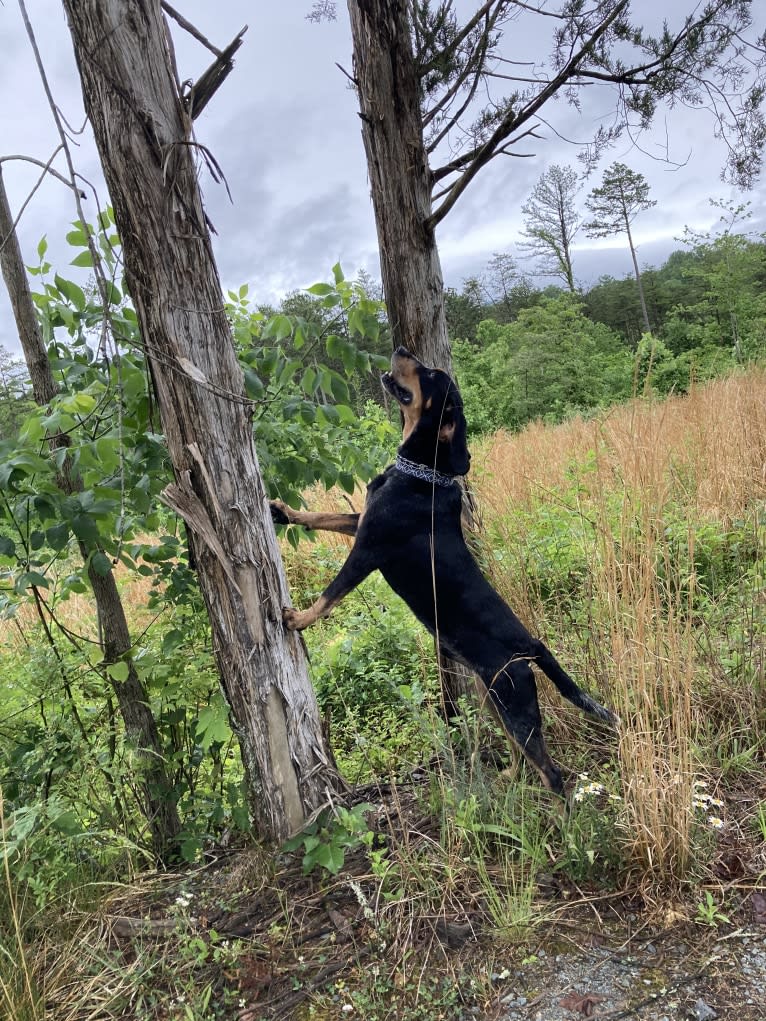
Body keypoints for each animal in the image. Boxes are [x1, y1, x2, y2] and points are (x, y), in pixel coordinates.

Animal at [271, 347, 616, 792]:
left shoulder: (369, 549)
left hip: (516, 704)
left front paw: (297, 619)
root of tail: (531, 643)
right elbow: (322, 517)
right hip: (493, 698)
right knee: (521, 755)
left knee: (551, 774)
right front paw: (284, 512)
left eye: (431, 375)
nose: (402, 350)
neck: (423, 472)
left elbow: (331, 593)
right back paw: (507, 776)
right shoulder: (360, 522)